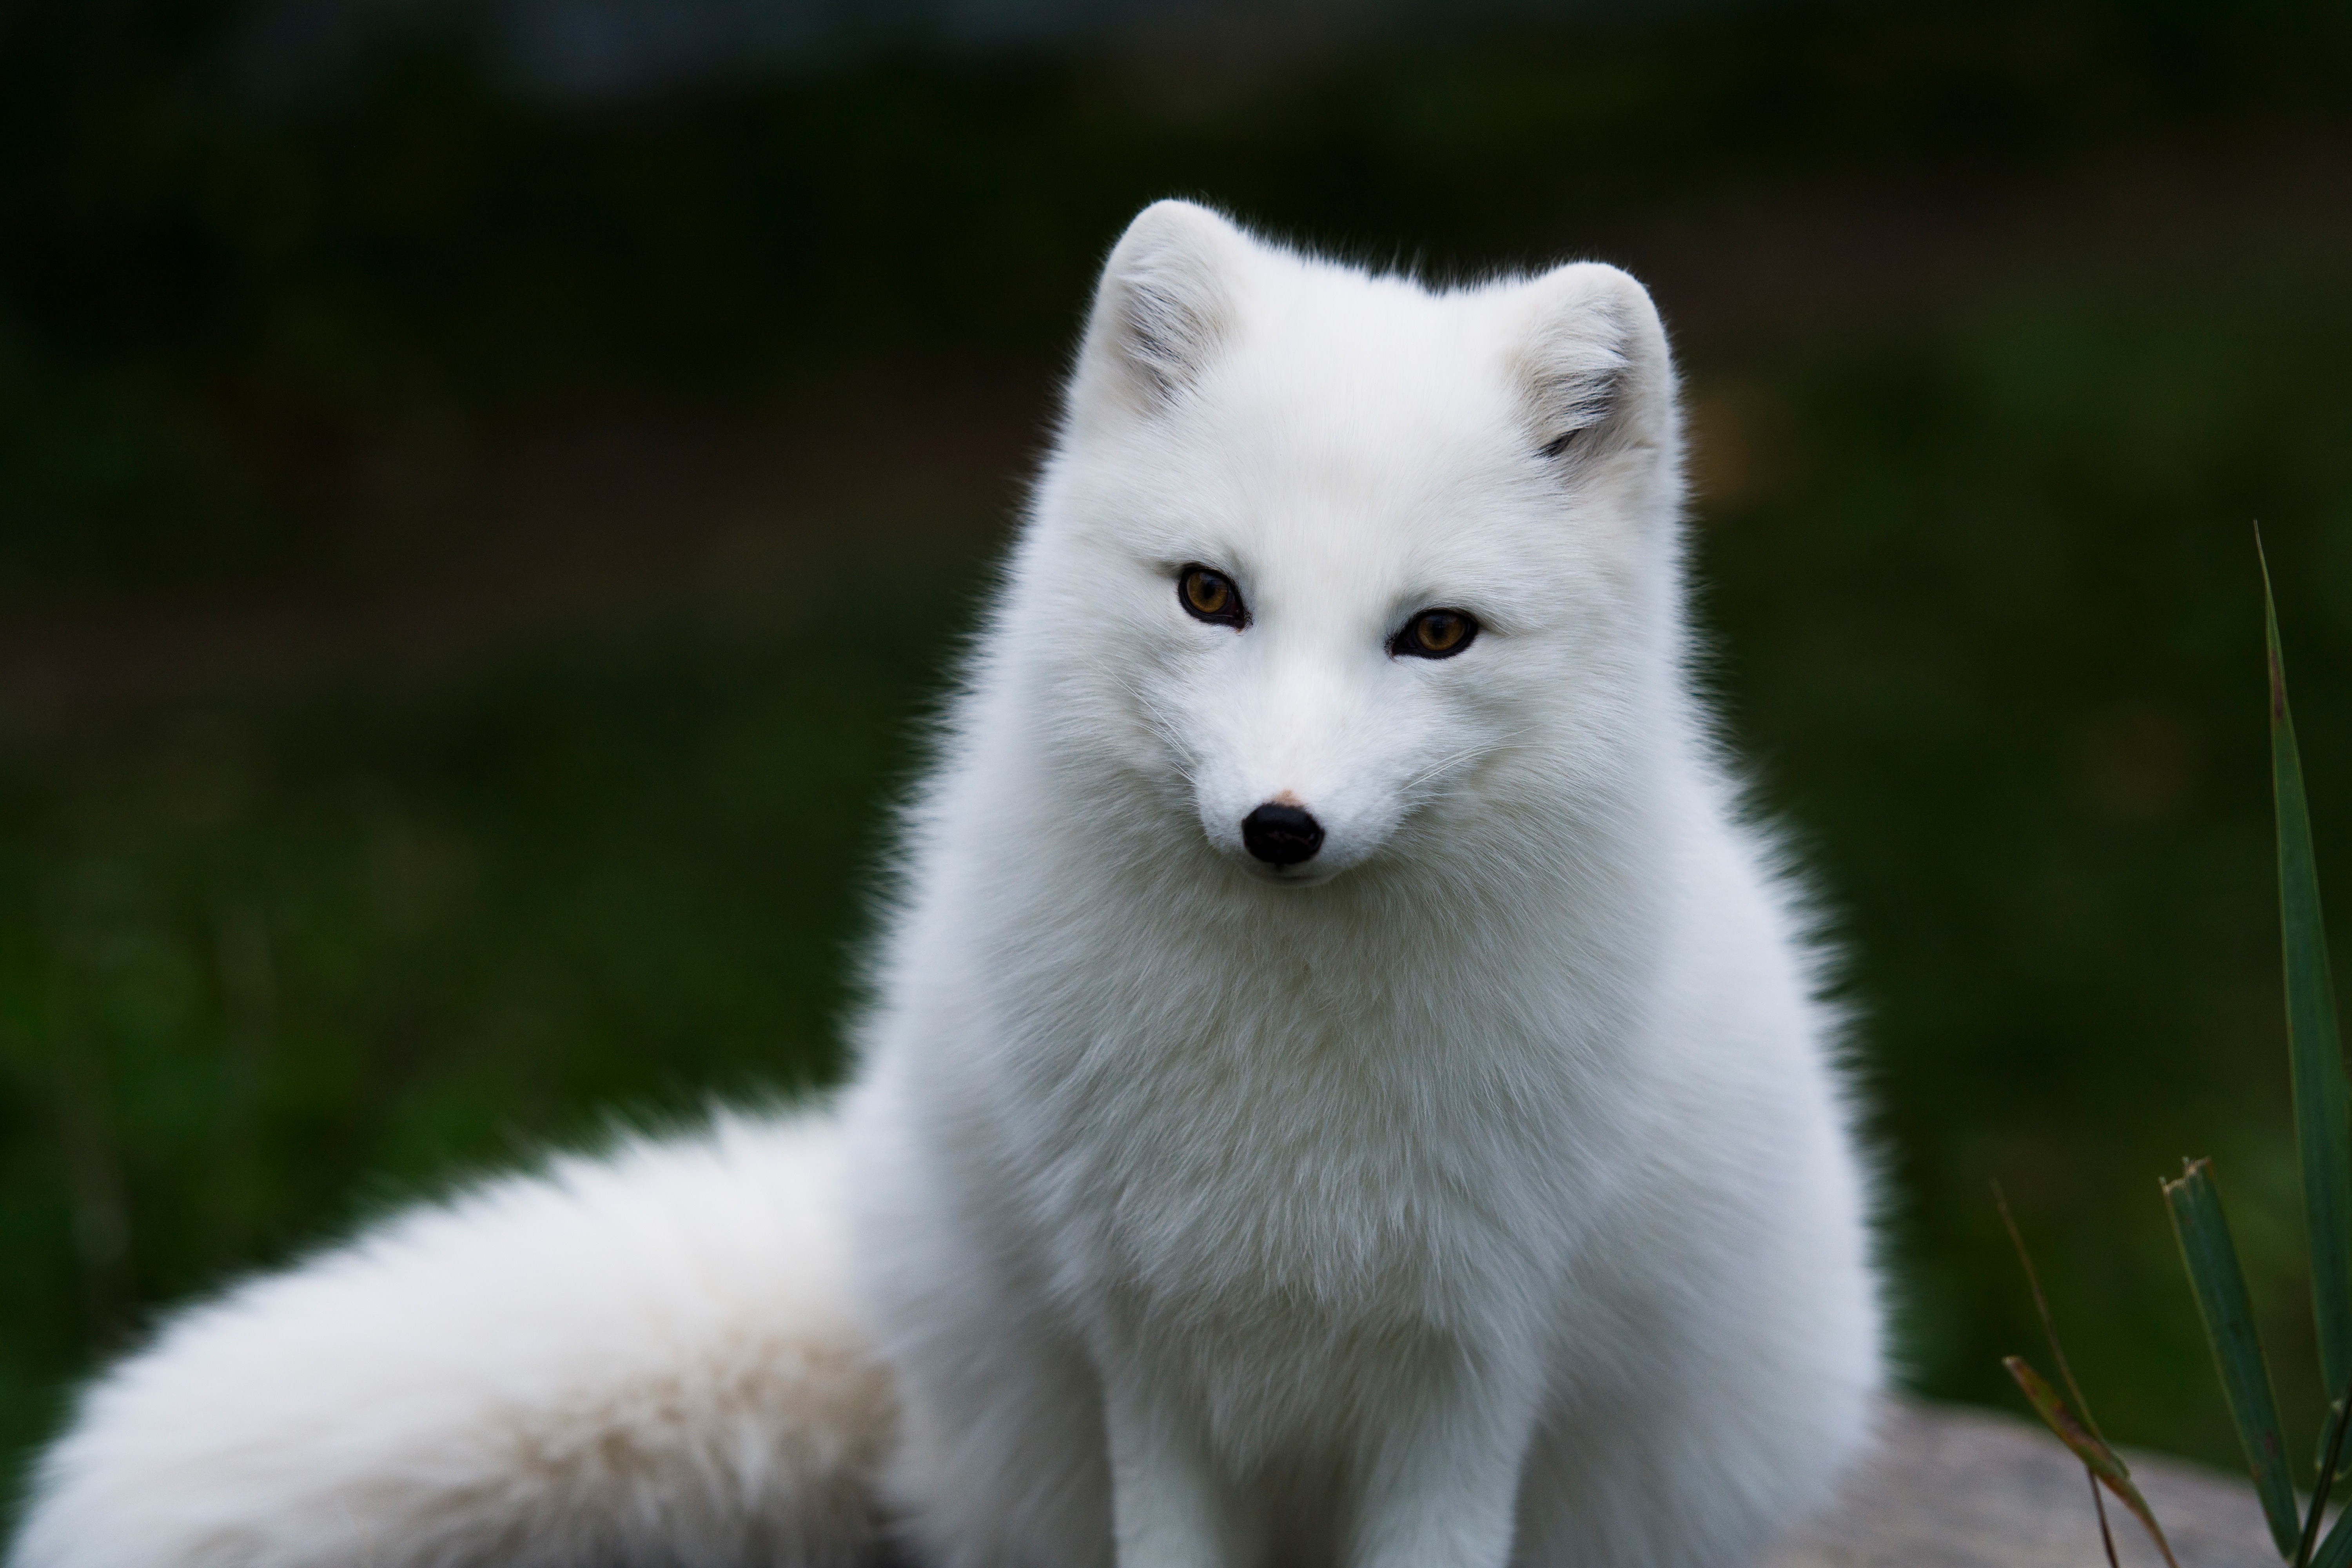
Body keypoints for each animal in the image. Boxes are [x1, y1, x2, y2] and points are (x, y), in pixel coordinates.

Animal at [4, 205, 1872, 1568]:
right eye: (1208, 593)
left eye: (1435, 632)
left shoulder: (1471, 1359)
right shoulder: (1144, 1339)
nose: (1278, 824)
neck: (1287, 1088)